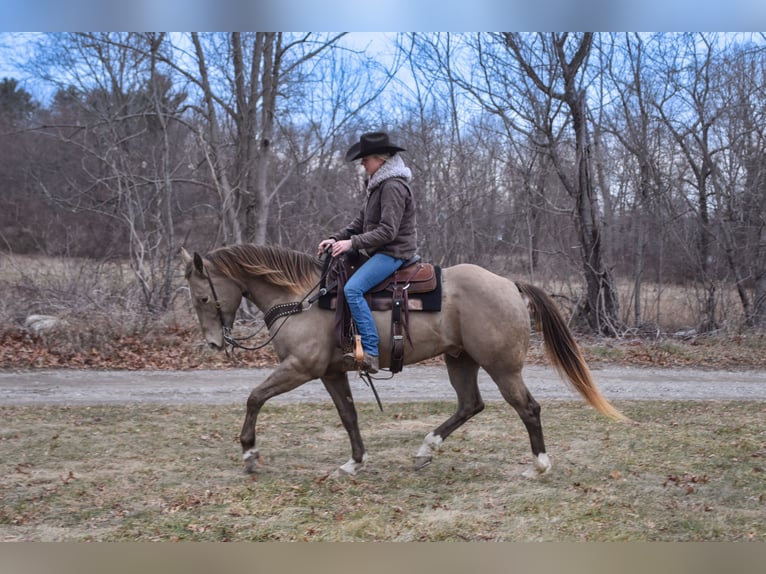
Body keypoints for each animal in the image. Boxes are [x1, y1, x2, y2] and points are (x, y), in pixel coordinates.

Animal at [181, 244, 626, 478]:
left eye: (202, 297)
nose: (214, 343)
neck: (300, 299)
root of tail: (509, 285)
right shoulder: (330, 373)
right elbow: (348, 416)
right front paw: (354, 461)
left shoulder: (299, 369)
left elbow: (255, 397)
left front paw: (249, 454)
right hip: (460, 360)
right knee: (470, 404)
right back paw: (426, 449)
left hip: (502, 367)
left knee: (528, 408)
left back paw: (539, 464)